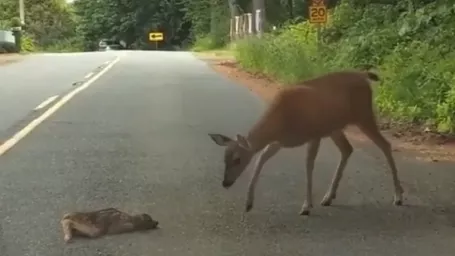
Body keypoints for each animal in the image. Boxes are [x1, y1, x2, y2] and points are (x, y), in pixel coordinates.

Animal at [208, 69, 404, 215]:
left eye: (237, 159)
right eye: (224, 158)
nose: (225, 183)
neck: (281, 121)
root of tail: (363, 75)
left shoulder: (313, 134)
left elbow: (309, 165)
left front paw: (306, 206)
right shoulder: (280, 141)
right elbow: (261, 158)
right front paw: (249, 203)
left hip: (363, 115)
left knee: (385, 145)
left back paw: (398, 196)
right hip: (335, 127)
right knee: (347, 149)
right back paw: (328, 197)